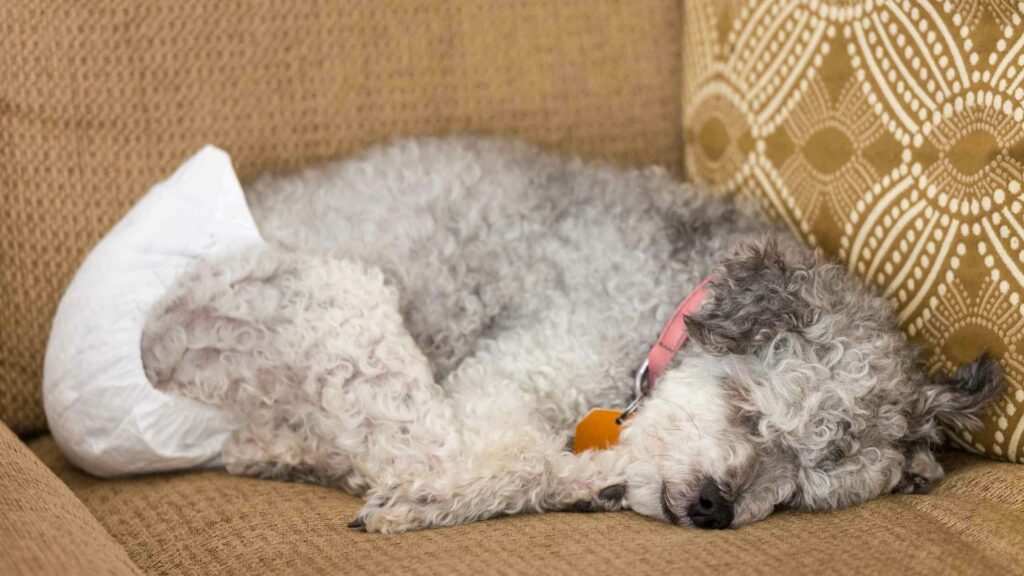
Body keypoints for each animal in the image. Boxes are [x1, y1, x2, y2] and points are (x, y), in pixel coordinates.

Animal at [142, 136, 999, 532]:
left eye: (801, 493)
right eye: (750, 413)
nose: (714, 508)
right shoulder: (519, 369)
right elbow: (516, 457)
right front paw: (429, 494)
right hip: (333, 305)